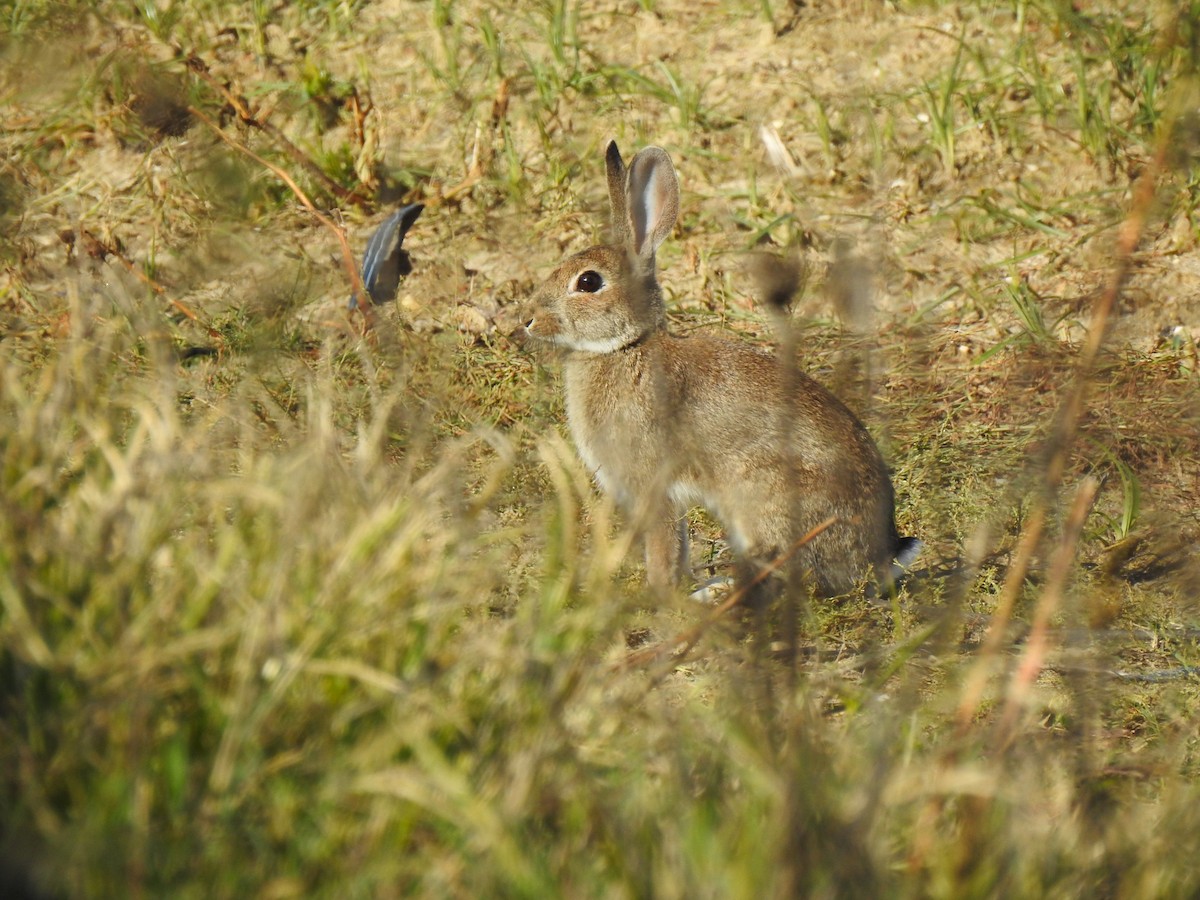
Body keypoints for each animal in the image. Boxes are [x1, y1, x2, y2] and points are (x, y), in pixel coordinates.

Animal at [523, 141, 918, 597]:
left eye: (588, 283)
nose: (528, 320)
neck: (625, 348)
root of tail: (878, 560)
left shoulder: (651, 483)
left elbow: (663, 543)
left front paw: (658, 594)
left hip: (763, 494)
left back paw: (718, 592)